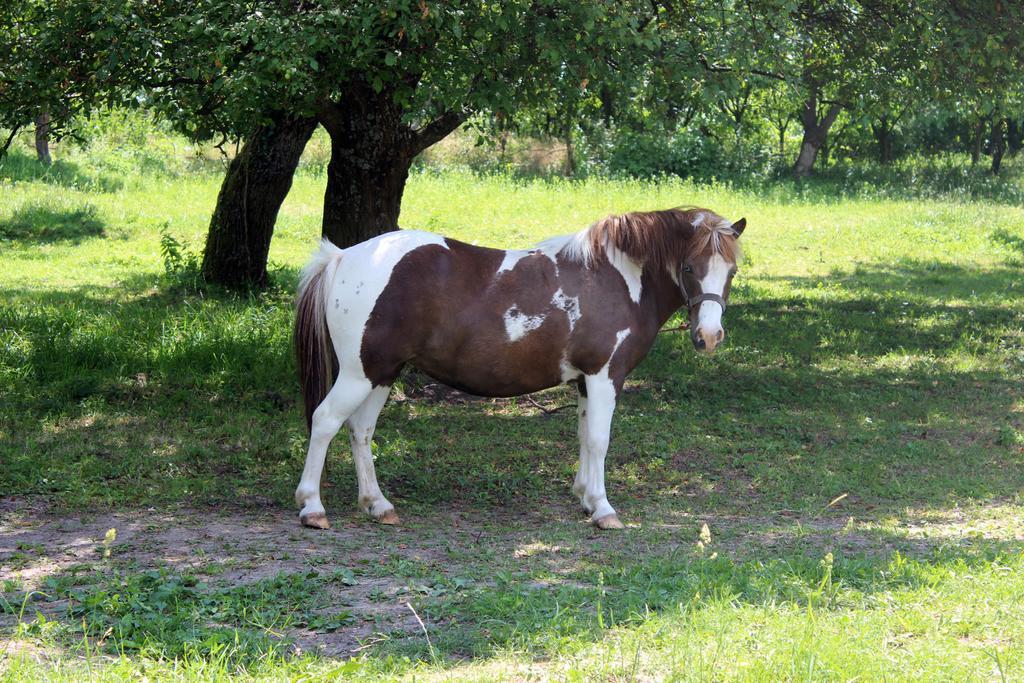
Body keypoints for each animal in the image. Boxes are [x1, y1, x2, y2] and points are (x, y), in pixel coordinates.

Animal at [292, 206, 749, 528]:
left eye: (732, 270)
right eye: (688, 267)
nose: (709, 336)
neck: (615, 278)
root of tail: (343, 257)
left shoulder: (584, 381)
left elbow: (584, 437)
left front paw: (585, 497)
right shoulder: (604, 377)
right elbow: (599, 440)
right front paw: (603, 509)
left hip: (383, 373)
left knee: (361, 431)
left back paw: (378, 504)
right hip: (359, 374)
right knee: (326, 421)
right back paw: (312, 507)